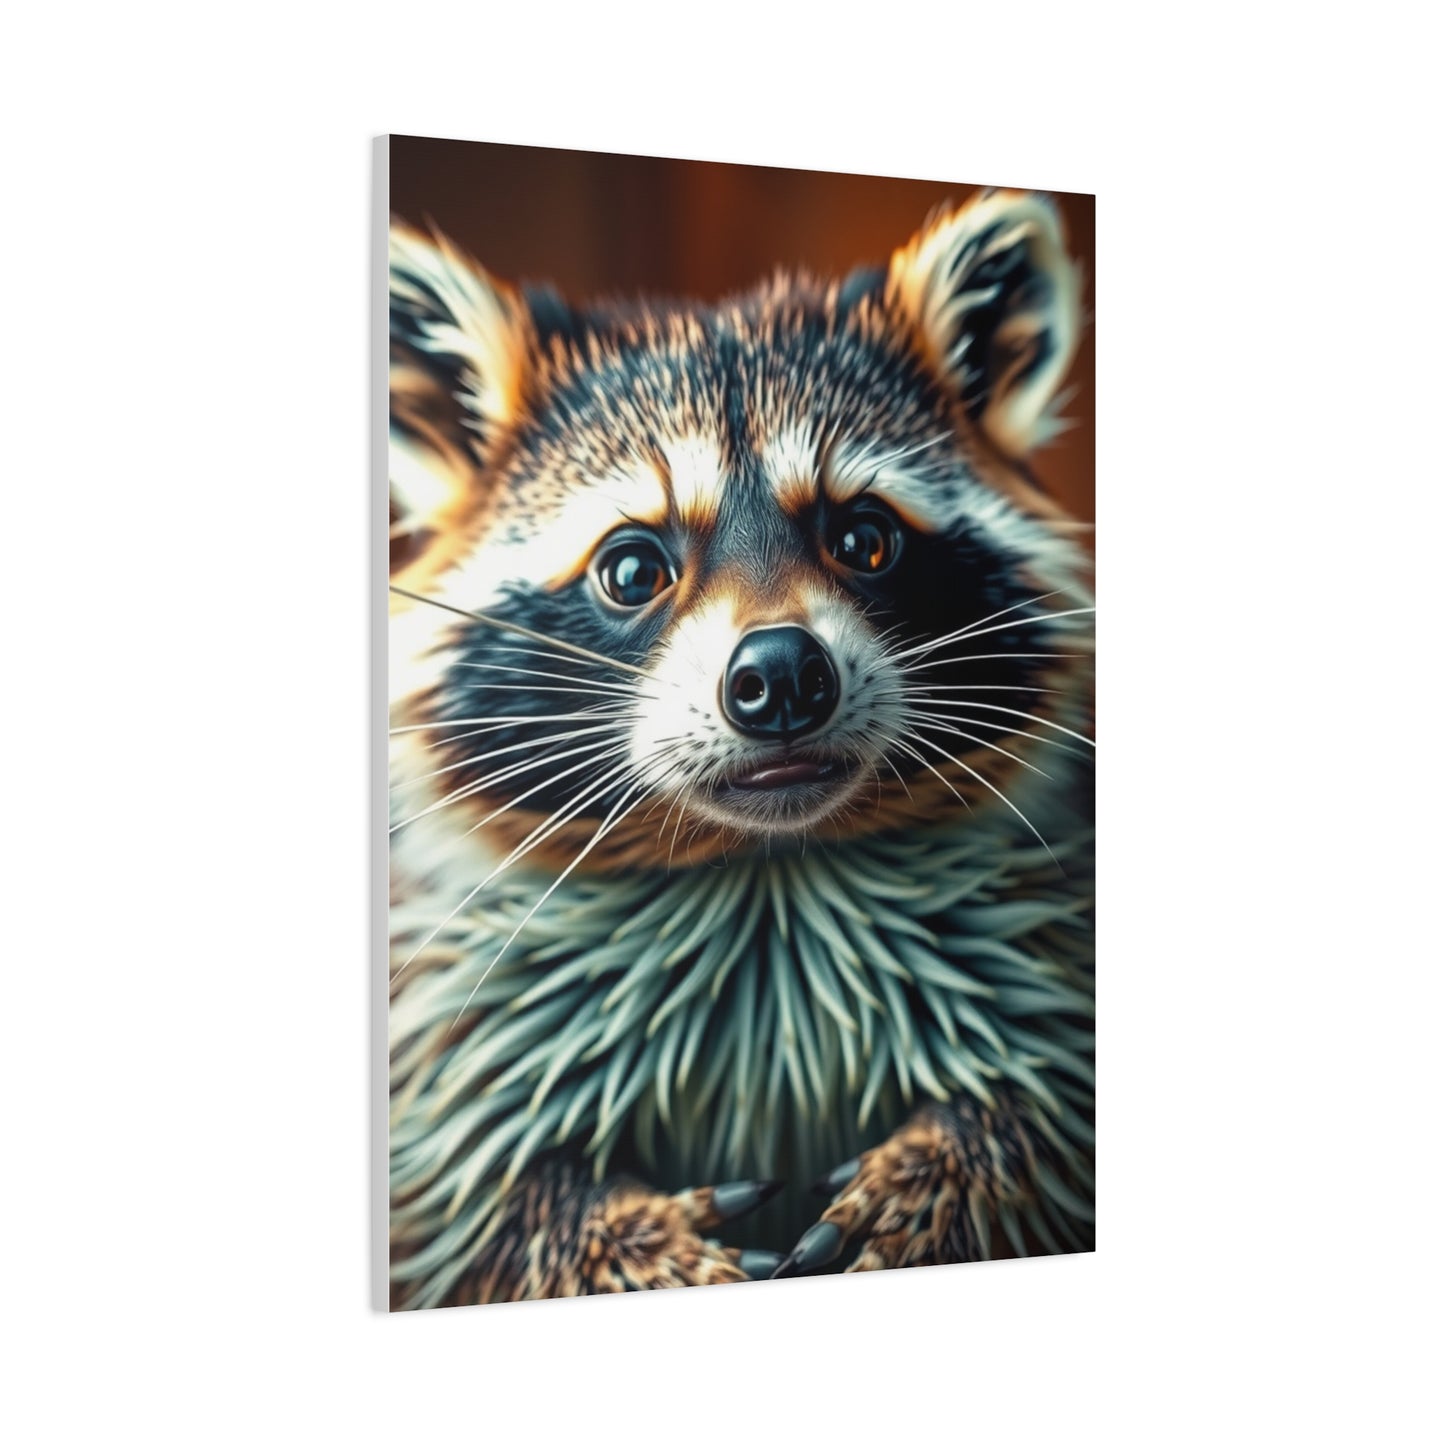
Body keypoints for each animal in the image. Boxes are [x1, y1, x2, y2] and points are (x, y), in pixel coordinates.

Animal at [388, 189, 1094, 1308]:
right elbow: (480, 1203)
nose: (783, 676)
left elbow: (1043, 1111)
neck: (764, 865)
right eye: (632, 567)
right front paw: (612, 1236)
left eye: (863, 539)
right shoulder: (449, 1030)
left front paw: (952, 1164)